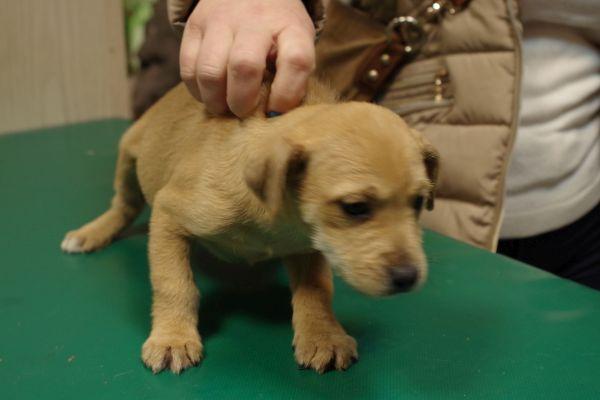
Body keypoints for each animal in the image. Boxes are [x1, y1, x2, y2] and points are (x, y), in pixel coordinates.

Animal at [61, 77, 439, 374]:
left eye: (420, 202)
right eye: (355, 208)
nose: (408, 277)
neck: (278, 213)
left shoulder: (311, 245)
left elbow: (317, 290)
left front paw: (322, 335)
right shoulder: (169, 215)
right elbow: (174, 284)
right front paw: (173, 338)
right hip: (129, 152)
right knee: (124, 203)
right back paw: (91, 233)